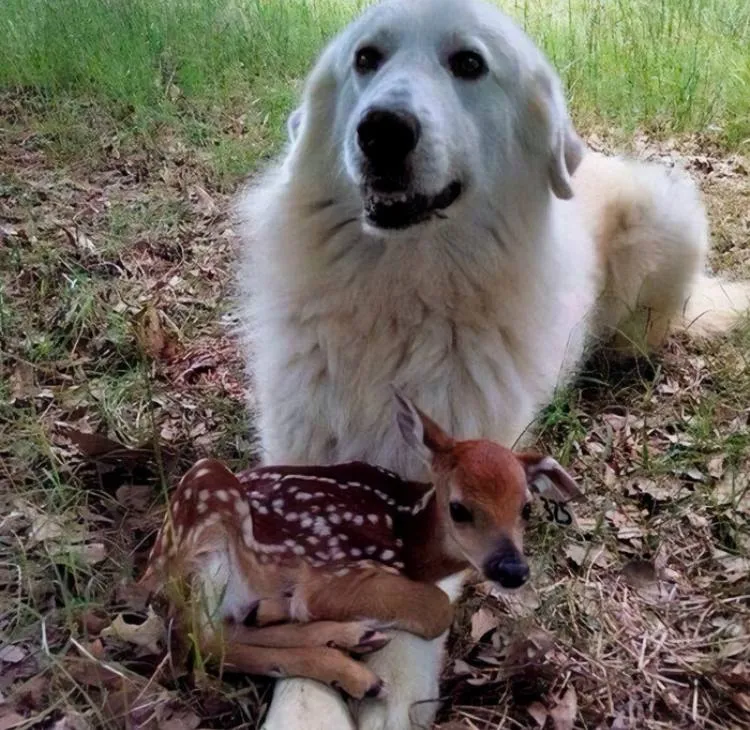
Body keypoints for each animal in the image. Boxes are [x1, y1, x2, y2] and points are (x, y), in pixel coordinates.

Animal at [139, 391, 582, 699]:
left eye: (526, 508)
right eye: (459, 508)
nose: (513, 569)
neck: (408, 540)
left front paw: (274, 610)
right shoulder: (335, 570)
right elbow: (435, 608)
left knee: (220, 630)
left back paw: (347, 637)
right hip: (206, 507)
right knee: (199, 638)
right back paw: (355, 673)